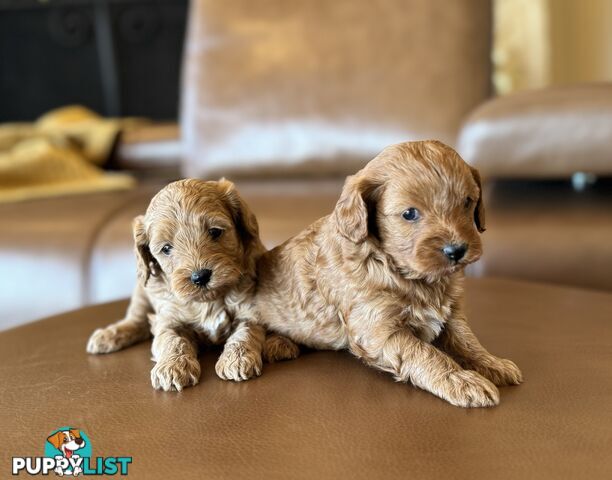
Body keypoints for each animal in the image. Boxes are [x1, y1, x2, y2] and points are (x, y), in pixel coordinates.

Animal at [86, 178, 296, 392]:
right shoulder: (168, 319)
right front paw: (172, 367)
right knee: (136, 320)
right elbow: (172, 340)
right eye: (166, 248)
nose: (200, 276)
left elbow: (244, 334)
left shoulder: (249, 312)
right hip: (141, 292)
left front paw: (236, 359)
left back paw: (280, 344)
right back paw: (107, 335)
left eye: (215, 232)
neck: (209, 299)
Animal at [253, 141, 520, 406]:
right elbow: (425, 353)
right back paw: (279, 343)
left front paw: (492, 363)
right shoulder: (377, 329)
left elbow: (467, 340)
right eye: (410, 213)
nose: (456, 250)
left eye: (467, 202)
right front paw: (461, 380)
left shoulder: (452, 312)